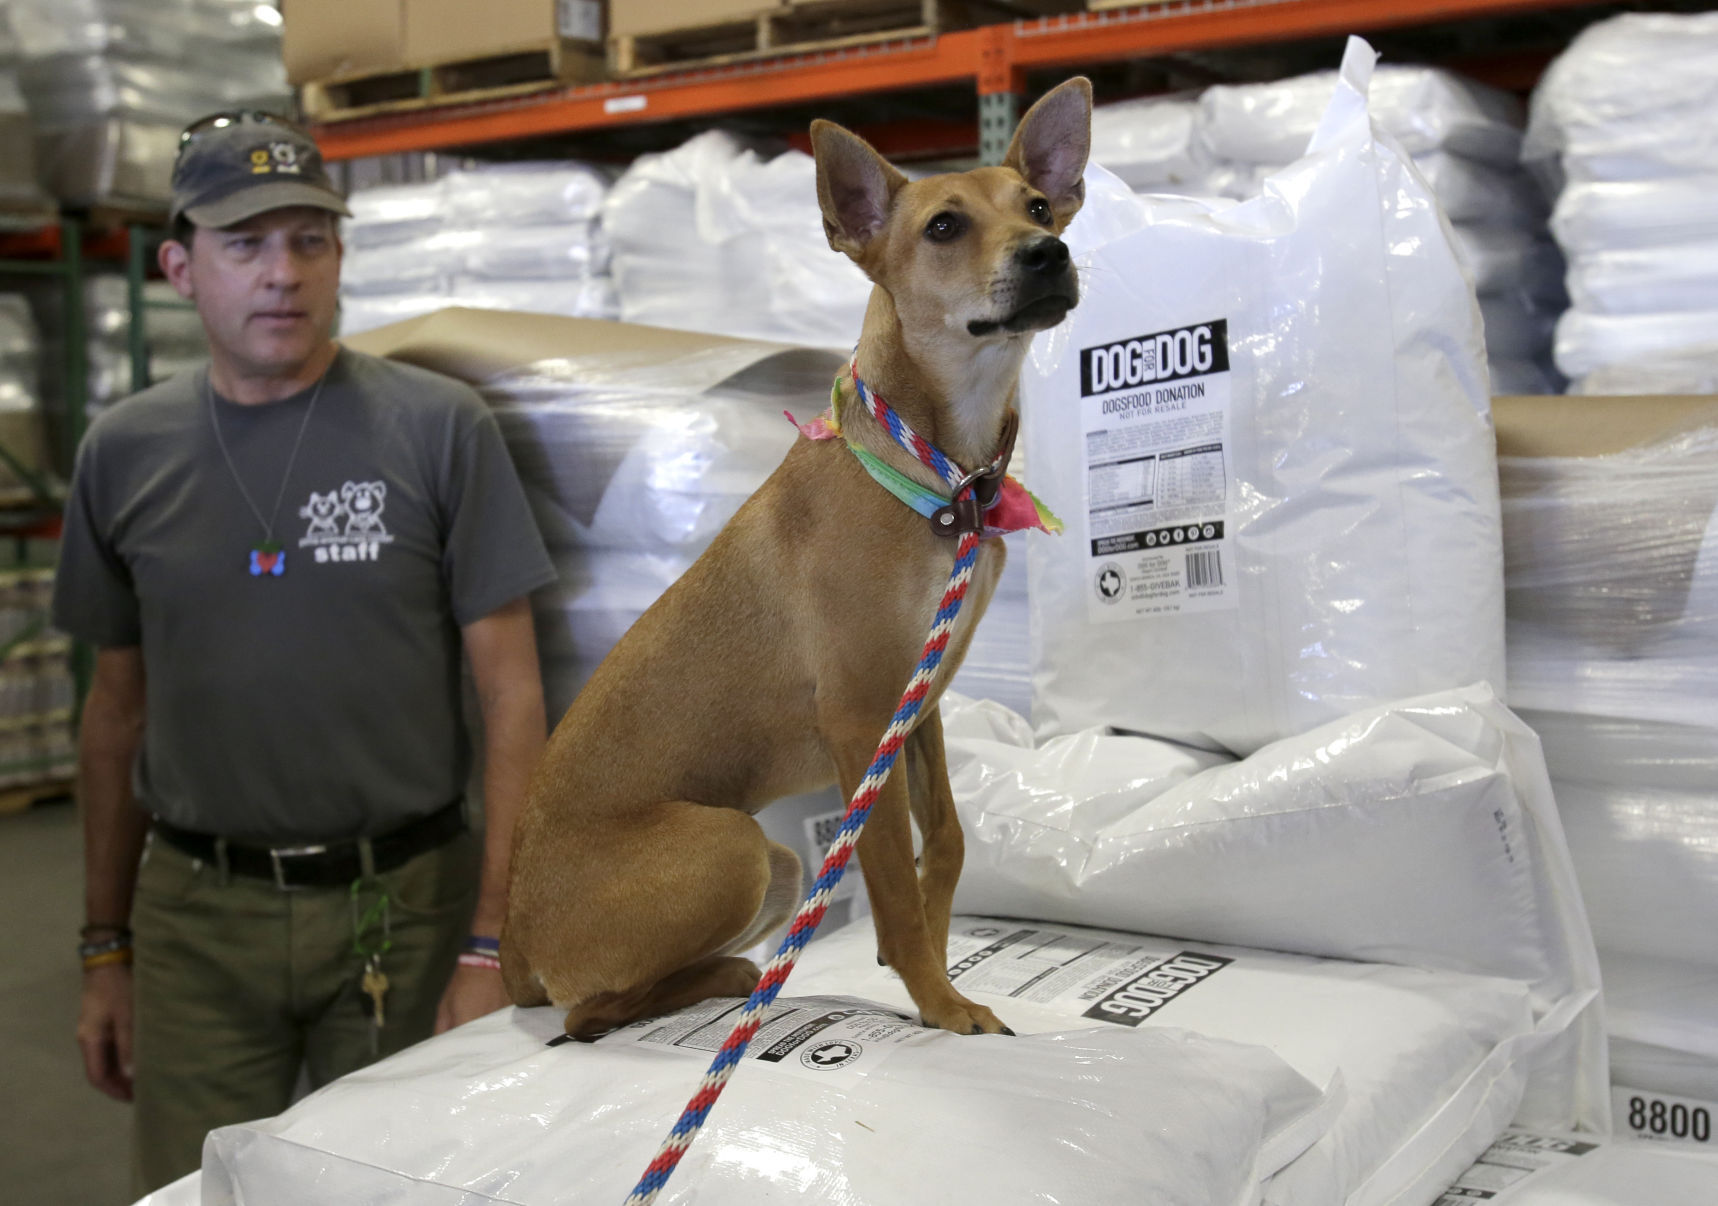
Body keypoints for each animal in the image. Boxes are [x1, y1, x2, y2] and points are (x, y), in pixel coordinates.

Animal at [501, 80, 1085, 1037]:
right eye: (944, 227)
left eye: (1038, 206)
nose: (1049, 253)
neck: (935, 471)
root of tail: (512, 937)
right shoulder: (859, 721)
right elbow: (889, 884)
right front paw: (940, 1002)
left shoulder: (916, 709)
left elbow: (947, 842)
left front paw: (933, 954)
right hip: (736, 845)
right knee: (588, 1016)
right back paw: (729, 977)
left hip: (771, 862)